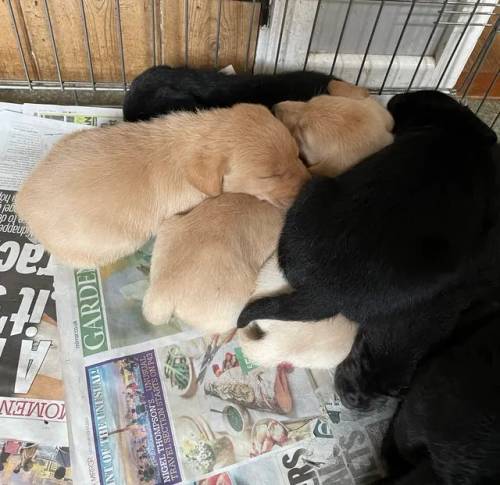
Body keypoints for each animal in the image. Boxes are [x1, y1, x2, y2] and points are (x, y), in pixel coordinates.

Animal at [16, 104, 308, 268]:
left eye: (297, 154)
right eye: (269, 176)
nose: (310, 185)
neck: (202, 138)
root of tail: (22, 202)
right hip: (117, 240)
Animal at [236, 91, 498, 408]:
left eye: (301, 136)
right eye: (314, 99)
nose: (275, 107)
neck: (461, 133)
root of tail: (324, 292)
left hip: (312, 193)